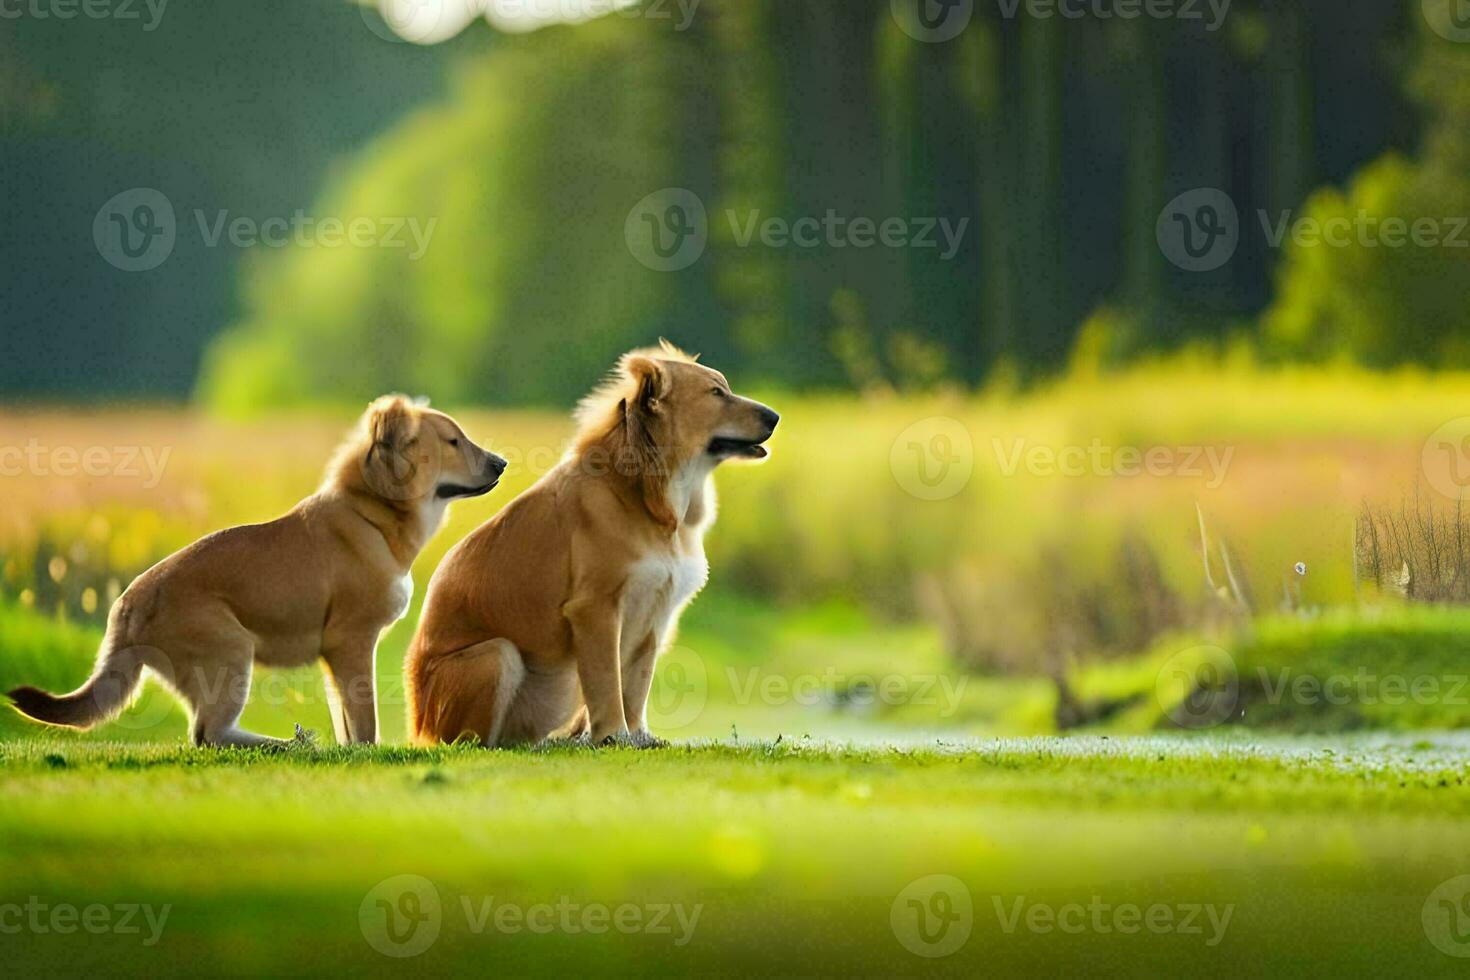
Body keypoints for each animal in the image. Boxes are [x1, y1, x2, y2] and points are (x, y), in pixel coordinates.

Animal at [8, 393, 505, 746]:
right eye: (453, 441)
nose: (503, 462)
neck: (372, 515)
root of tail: (126, 607)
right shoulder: (352, 642)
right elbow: (364, 722)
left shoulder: (335, 658)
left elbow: (345, 721)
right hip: (231, 652)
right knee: (209, 734)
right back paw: (286, 745)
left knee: (208, 733)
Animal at [402, 340, 770, 746]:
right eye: (716, 393)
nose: (775, 417)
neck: (645, 496)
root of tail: (418, 726)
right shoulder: (596, 610)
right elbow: (607, 685)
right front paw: (613, 735)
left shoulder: (653, 615)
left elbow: (635, 685)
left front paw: (637, 735)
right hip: (499, 656)